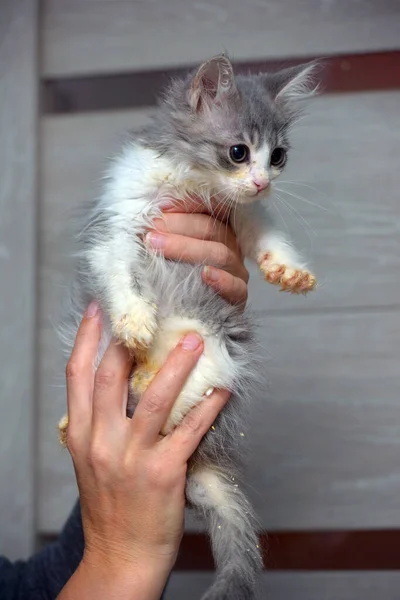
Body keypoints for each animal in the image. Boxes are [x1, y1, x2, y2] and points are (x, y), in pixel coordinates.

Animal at [57, 56, 318, 600]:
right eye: (239, 152)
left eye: (278, 156)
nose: (263, 181)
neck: (191, 181)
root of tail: (206, 452)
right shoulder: (120, 215)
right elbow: (117, 266)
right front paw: (135, 317)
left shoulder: (238, 211)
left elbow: (264, 226)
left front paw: (288, 268)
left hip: (214, 350)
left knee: (189, 397)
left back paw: (144, 384)